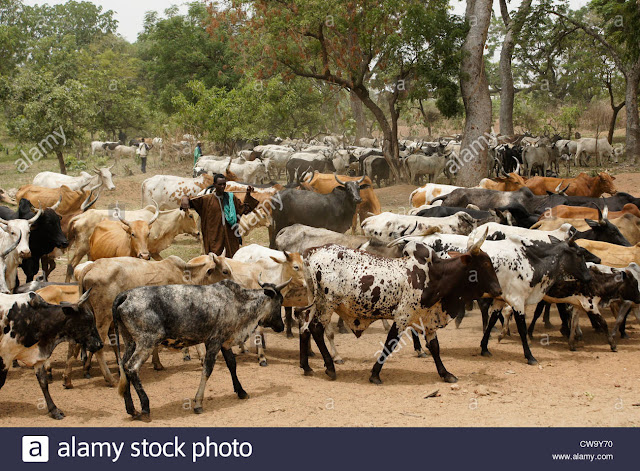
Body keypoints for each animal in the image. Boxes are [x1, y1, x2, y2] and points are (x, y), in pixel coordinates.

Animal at [0, 290, 102, 419]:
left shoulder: (38, 357)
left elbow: (43, 383)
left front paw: (54, 410)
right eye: (88, 320)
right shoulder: (5, 357)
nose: (100, 344)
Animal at [113, 279, 289, 420]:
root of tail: (125, 295)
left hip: (130, 342)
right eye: (280, 301)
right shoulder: (214, 342)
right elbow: (207, 370)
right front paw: (198, 403)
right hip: (146, 342)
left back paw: (131, 409)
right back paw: (145, 407)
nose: (281, 326)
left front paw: (241, 391)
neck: (237, 301)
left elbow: (232, 364)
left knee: (123, 366)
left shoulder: (224, 342)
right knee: (131, 367)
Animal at [300, 235, 501, 384]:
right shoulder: (403, 316)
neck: (435, 275)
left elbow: (435, 347)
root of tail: (312, 252)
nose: (499, 291)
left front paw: (445, 374)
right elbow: (390, 344)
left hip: (315, 304)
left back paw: (306, 367)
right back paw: (330, 367)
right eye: (485, 264)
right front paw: (375, 374)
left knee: (304, 327)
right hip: (327, 304)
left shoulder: (428, 319)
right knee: (316, 329)